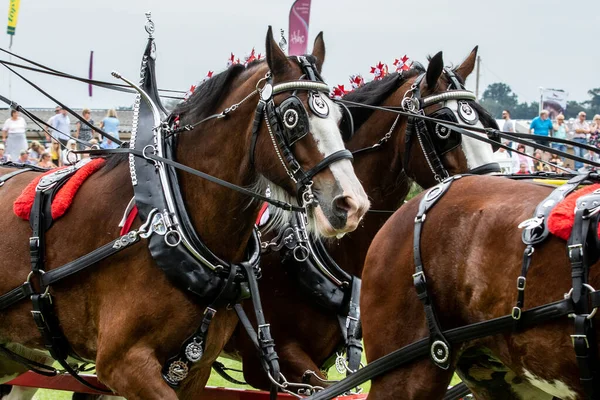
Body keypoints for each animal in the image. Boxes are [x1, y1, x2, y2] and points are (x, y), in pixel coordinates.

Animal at [0, 28, 370, 400]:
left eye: (341, 119)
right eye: (292, 117)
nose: (352, 204)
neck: (169, 214)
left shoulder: (196, 369)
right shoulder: (123, 363)